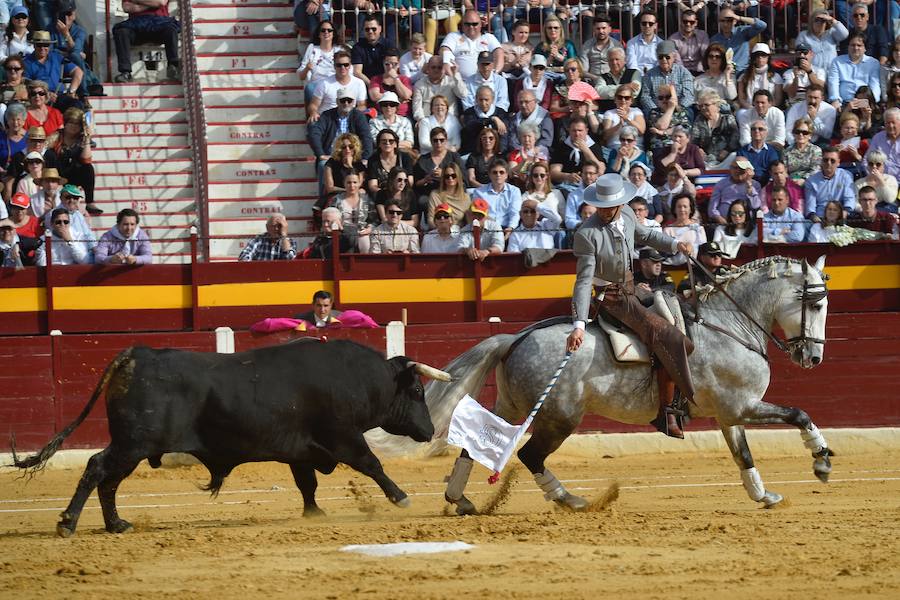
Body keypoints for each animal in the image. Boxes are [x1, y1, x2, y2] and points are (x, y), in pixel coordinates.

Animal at [11, 338, 454, 540]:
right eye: (417, 391)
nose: (429, 431)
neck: (361, 379)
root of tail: (136, 354)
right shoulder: (343, 436)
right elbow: (372, 464)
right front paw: (401, 498)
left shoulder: (301, 450)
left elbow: (306, 483)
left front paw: (314, 513)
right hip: (132, 443)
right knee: (97, 468)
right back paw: (68, 522)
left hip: (134, 448)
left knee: (109, 480)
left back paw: (117, 524)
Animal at [426, 255, 832, 512]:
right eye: (815, 305)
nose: (813, 358)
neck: (729, 325)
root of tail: (514, 339)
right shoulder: (743, 405)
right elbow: (800, 413)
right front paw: (821, 461)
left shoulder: (729, 413)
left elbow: (743, 454)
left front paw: (763, 496)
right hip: (559, 418)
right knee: (530, 455)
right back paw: (572, 501)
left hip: (511, 407)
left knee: (474, 445)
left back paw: (459, 499)